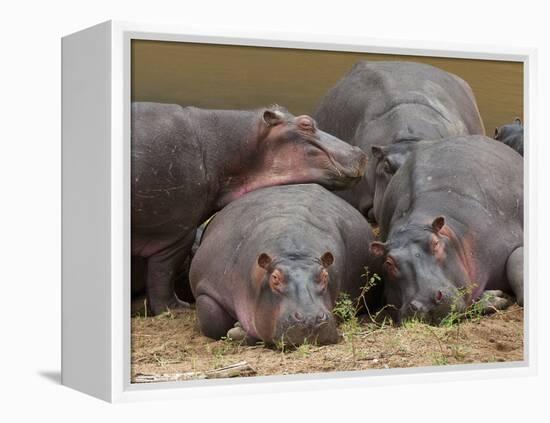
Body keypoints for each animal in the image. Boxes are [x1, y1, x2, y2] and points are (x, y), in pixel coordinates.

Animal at [188, 184, 382, 346]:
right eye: (275, 278)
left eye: (325, 276)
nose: (310, 319)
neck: (294, 255)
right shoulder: (207, 288)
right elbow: (213, 321)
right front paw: (236, 329)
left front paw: (238, 329)